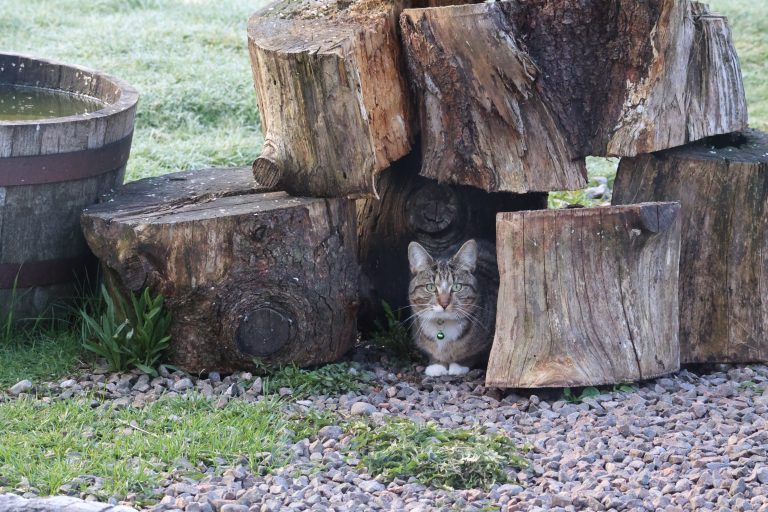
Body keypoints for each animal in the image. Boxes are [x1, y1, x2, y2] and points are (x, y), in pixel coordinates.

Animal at [408, 239, 498, 376]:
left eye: (457, 287)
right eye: (430, 287)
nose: (444, 303)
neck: (443, 324)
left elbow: (472, 354)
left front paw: (459, 365)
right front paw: (437, 365)